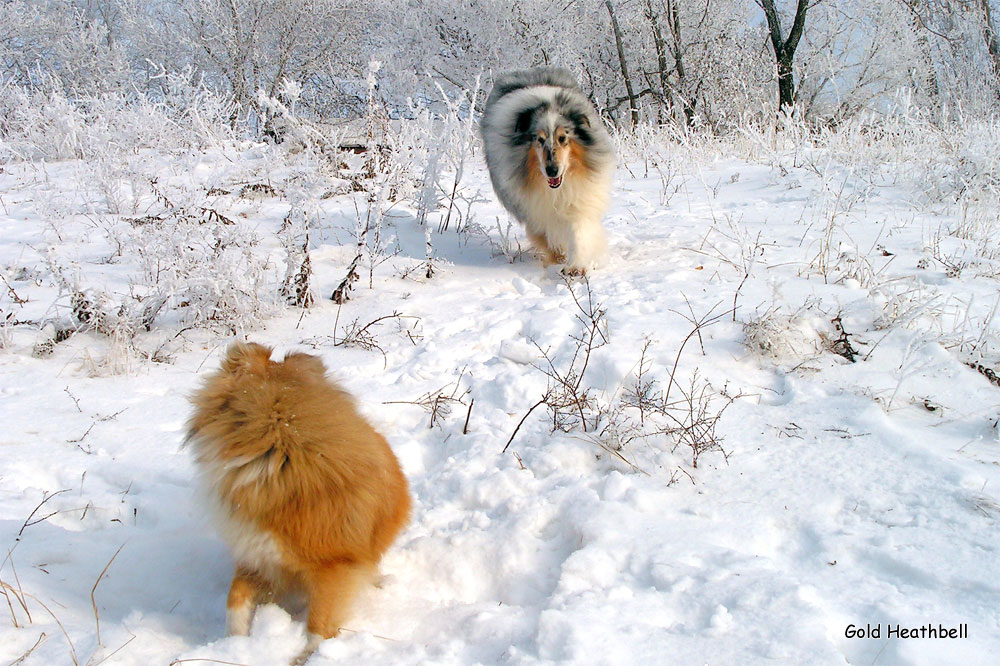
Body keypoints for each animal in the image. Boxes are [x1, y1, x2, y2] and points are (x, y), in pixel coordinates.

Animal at [186, 340, 408, 660]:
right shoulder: (258, 555)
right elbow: (235, 599)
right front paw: (235, 646)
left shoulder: (333, 566)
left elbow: (319, 624)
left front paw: (308, 656)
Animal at [480, 66, 612, 274]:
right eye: (539, 140)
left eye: (563, 138)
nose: (552, 170)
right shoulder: (533, 208)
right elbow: (546, 237)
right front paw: (557, 260)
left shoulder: (578, 198)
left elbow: (578, 230)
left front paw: (575, 266)